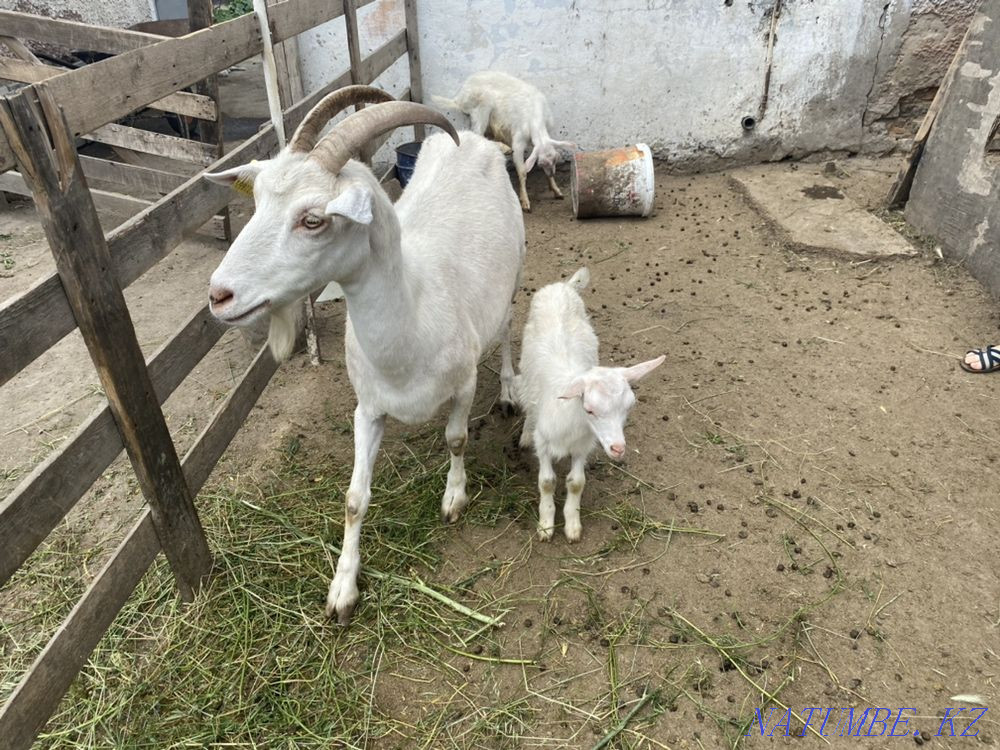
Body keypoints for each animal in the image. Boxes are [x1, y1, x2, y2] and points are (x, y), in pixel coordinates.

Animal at [203, 86, 525, 624]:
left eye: (313, 220)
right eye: (259, 200)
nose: (219, 295)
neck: (413, 318)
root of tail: (475, 141)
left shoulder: (461, 384)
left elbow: (456, 438)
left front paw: (454, 498)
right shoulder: (368, 407)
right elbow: (354, 498)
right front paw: (342, 590)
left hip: (514, 273)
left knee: (504, 330)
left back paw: (507, 391)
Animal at [433, 71, 575, 212]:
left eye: (555, 160)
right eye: (541, 163)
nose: (552, 172)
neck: (535, 118)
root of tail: (459, 98)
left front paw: (556, 190)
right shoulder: (518, 139)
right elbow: (522, 170)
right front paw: (525, 201)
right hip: (481, 105)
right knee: (477, 133)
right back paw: (504, 148)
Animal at [515, 268, 664, 542]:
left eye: (628, 408)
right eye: (590, 410)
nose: (618, 448)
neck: (572, 420)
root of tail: (563, 287)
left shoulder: (583, 444)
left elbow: (576, 482)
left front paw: (572, 525)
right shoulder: (545, 441)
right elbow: (547, 481)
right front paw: (546, 525)